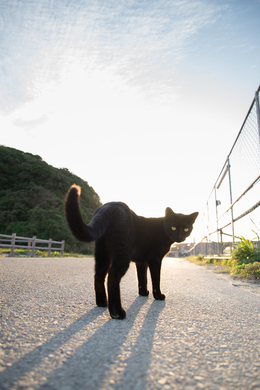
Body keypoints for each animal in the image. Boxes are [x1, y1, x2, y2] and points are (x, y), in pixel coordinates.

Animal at [64, 185, 198, 320]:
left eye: (186, 229)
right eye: (173, 227)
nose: (180, 237)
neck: (164, 233)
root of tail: (109, 206)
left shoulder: (141, 261)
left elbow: (142, 278)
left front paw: (143, 293)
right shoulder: (155, 259)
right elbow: (156, 279)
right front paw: (158, 296)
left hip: (102, 254)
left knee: (99, 275)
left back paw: (102, 302)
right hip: (122, 252)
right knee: (113, 274)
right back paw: (117, 312)